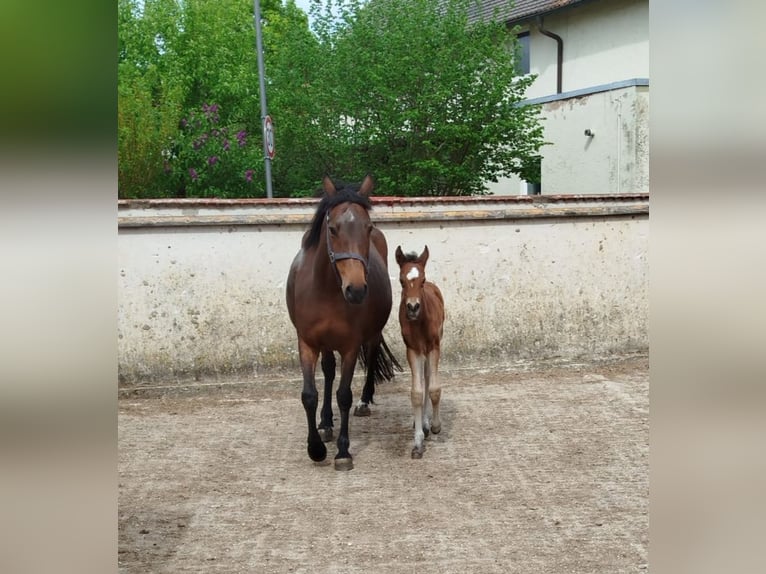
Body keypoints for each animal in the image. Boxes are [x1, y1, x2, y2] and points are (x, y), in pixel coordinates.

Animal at [285, 175, 401, 471]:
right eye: (333, 229)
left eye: (367, 228)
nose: (356, 289)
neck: (326, 289)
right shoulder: (307, 343)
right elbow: (309, 394)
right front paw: (315, 447)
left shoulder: (350, 346)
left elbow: (344, 395)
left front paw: (343, 451)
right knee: (327, 371)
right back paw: (326, 423)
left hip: (371, 335)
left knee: (370, 357)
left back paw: (364, 402)